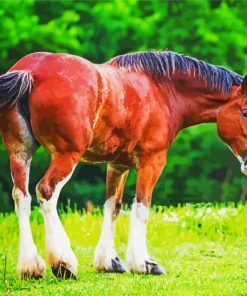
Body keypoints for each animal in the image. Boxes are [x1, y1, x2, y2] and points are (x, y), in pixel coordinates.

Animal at [0, 49, 246, 278]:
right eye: (244, 112)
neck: (162, 90)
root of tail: (32, 71)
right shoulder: (152, 162)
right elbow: (142, 207)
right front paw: (144, 263)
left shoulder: (118, 165)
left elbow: (113, 207)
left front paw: (109, 262)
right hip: (66, 156)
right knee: (46, 191)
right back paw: (63, 263)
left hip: (20, 153)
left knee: (21, 197)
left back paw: (30, 267)